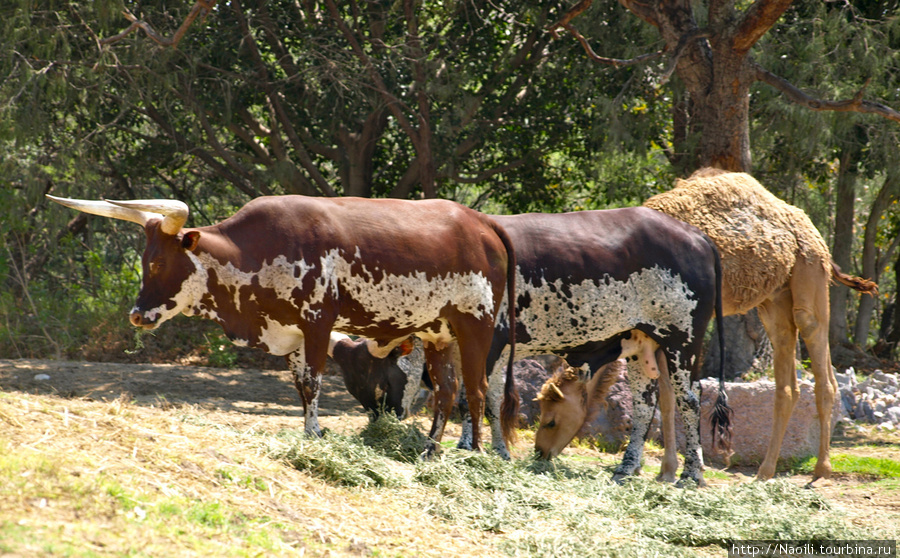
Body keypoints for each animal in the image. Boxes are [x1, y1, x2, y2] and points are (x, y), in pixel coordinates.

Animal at [45, 195, 516, 458]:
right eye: (144, 261)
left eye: (159, 262)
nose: (137, 315)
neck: (252, 253)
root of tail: (483, 222)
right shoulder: (289, 334)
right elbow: (299, 386)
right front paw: (312, 432)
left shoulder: (318, 323)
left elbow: (313, 382)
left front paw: (313, 434)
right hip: (438, 331)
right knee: (447, 390)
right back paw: (430, 452)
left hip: (476, 324)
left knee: (476, 391)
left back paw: (476, 455)